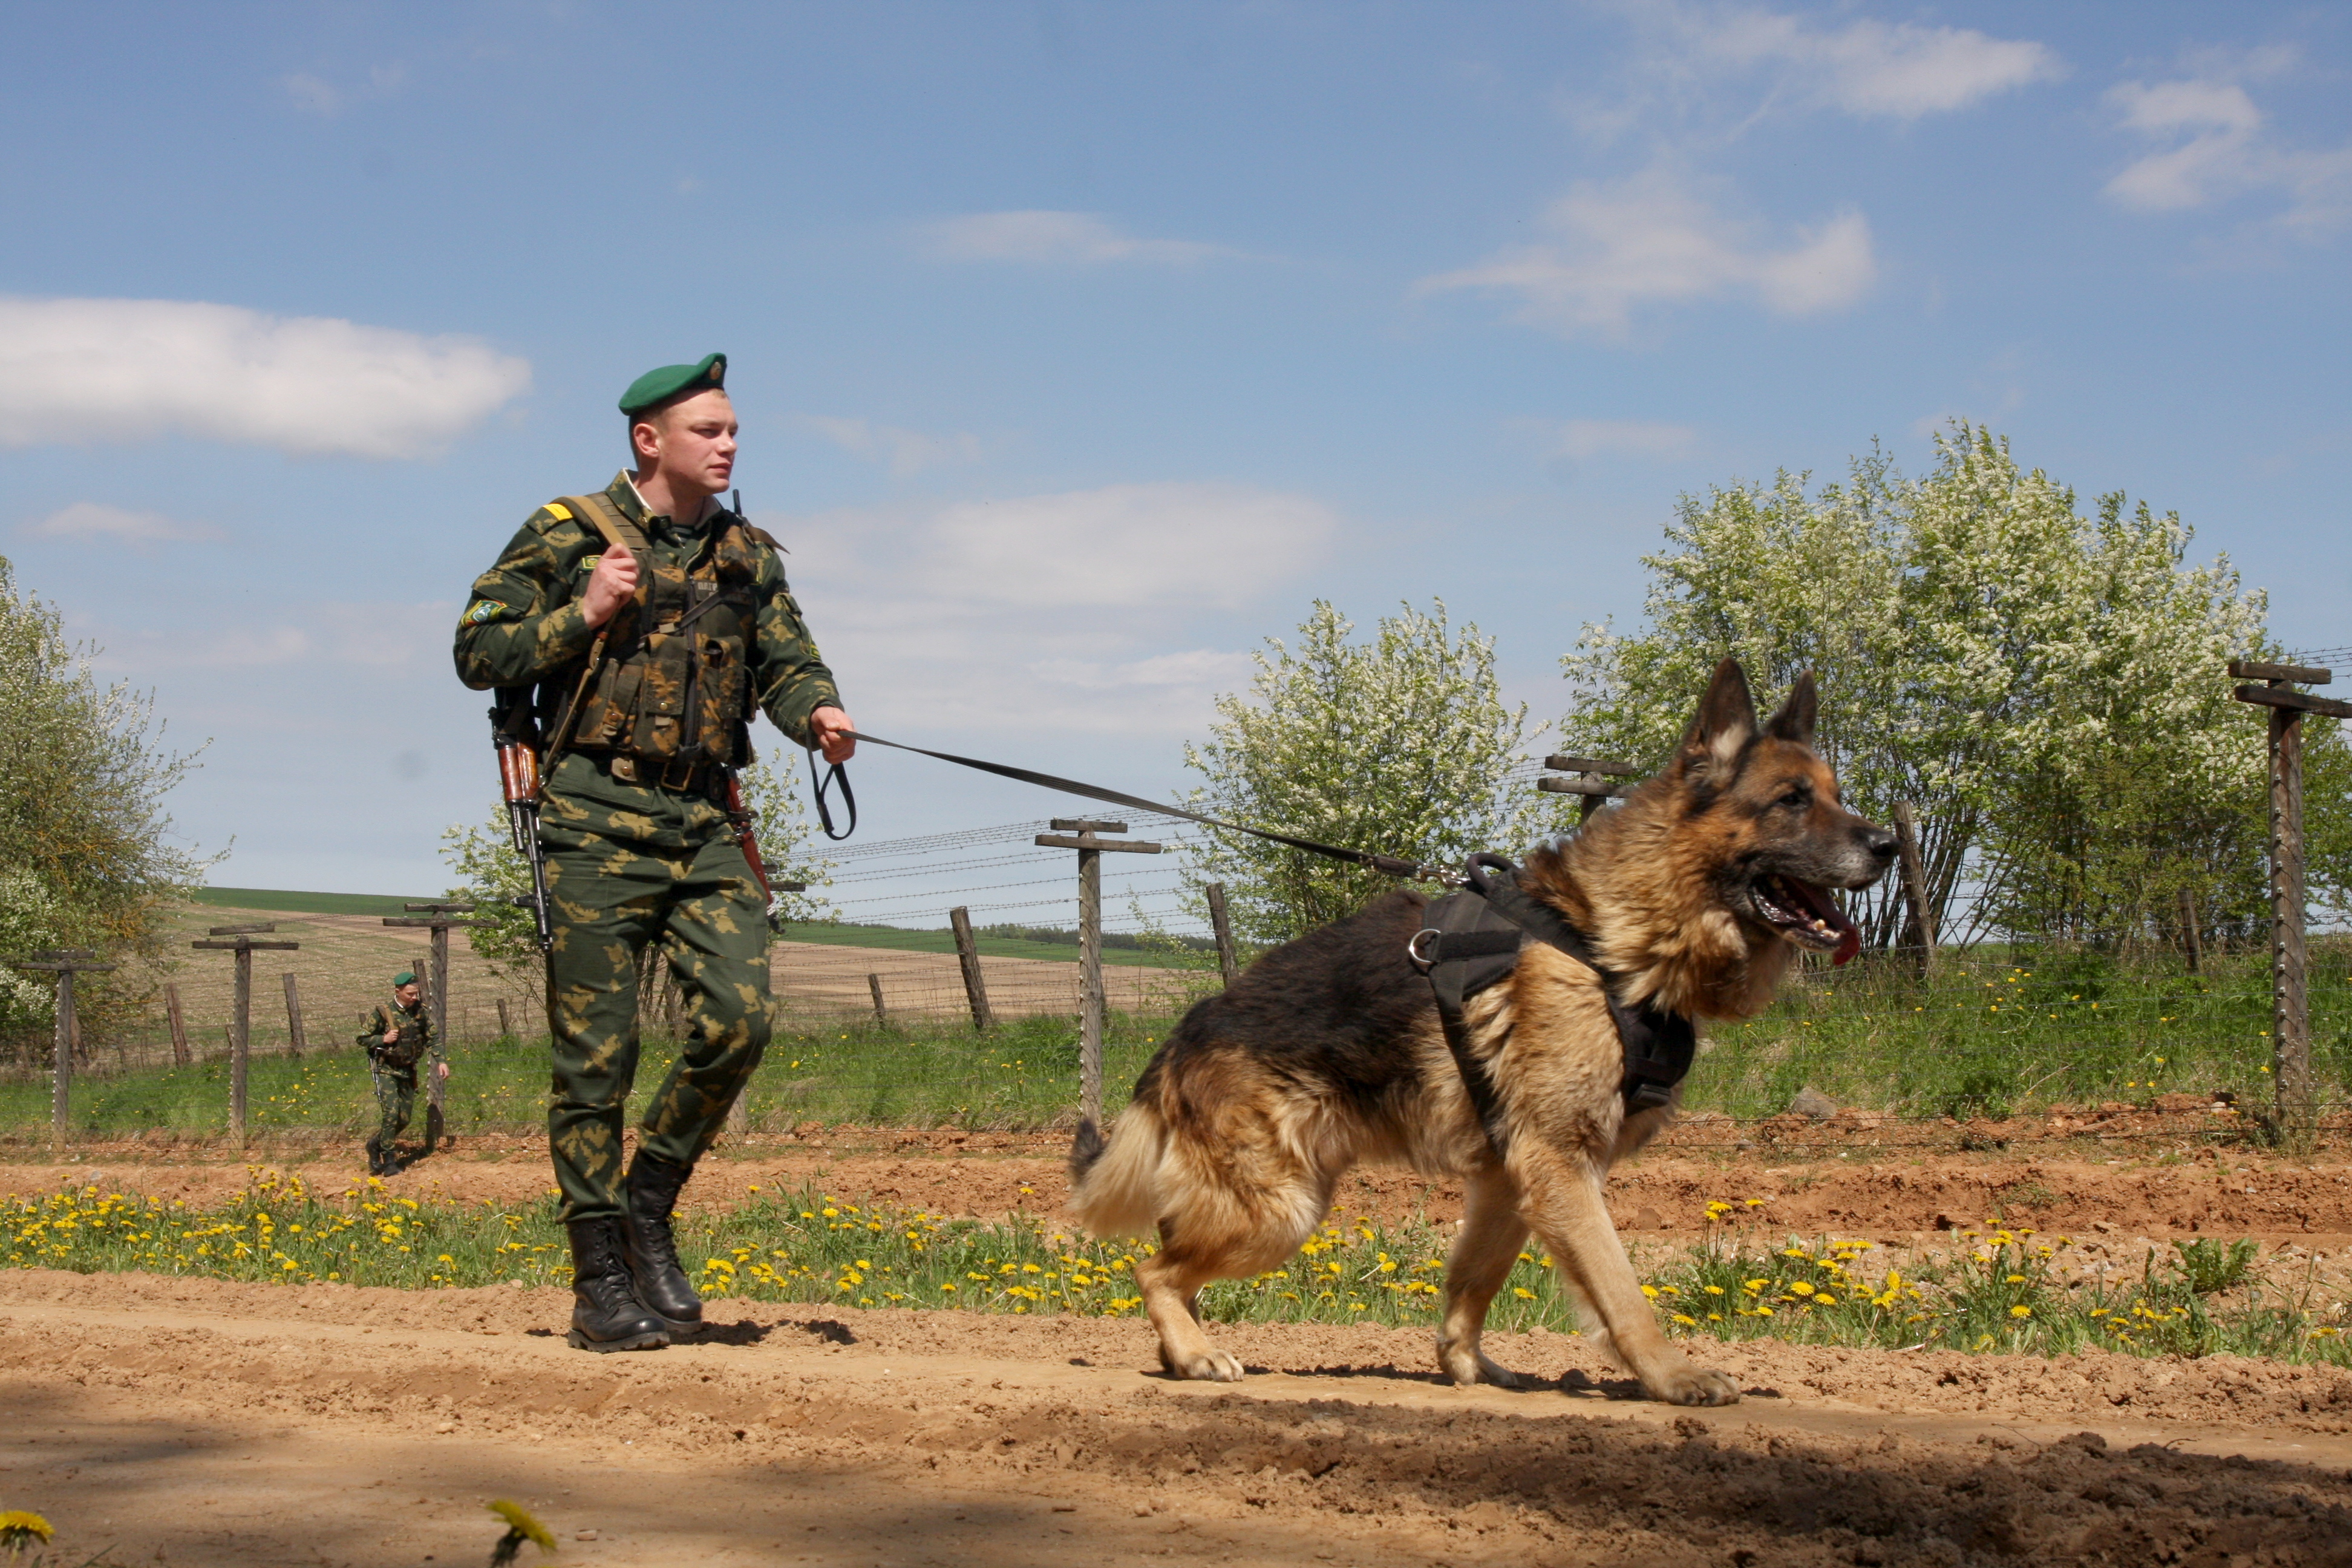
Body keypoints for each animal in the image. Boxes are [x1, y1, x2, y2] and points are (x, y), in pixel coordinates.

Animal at [1068, 662, 1890, 1410]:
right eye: (1791, 800)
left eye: (1836, 795)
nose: (1888, 843)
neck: (1608, 941)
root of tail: (1186, 1031)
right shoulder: (1560, 1165)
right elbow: (1622, 1290)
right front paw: (1671, 1377)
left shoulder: (1508, 1182)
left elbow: (1473, 1283)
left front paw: (1466, 1368)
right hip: (1278, 1212)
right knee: (1153, 1272)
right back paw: (1196, 1354)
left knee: (1173, 1271)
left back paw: (1184, 1355)